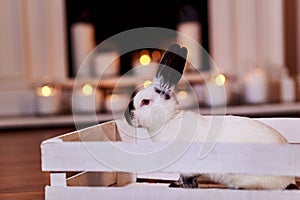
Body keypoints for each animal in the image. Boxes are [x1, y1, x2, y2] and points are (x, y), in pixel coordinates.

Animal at [124, 43, 298, 191]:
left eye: (145, 102)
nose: (127, 116)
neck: (169, 120)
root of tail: (289, 178)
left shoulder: (187, 167)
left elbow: (187, 178)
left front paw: (183, 187)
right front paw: (176, 184)